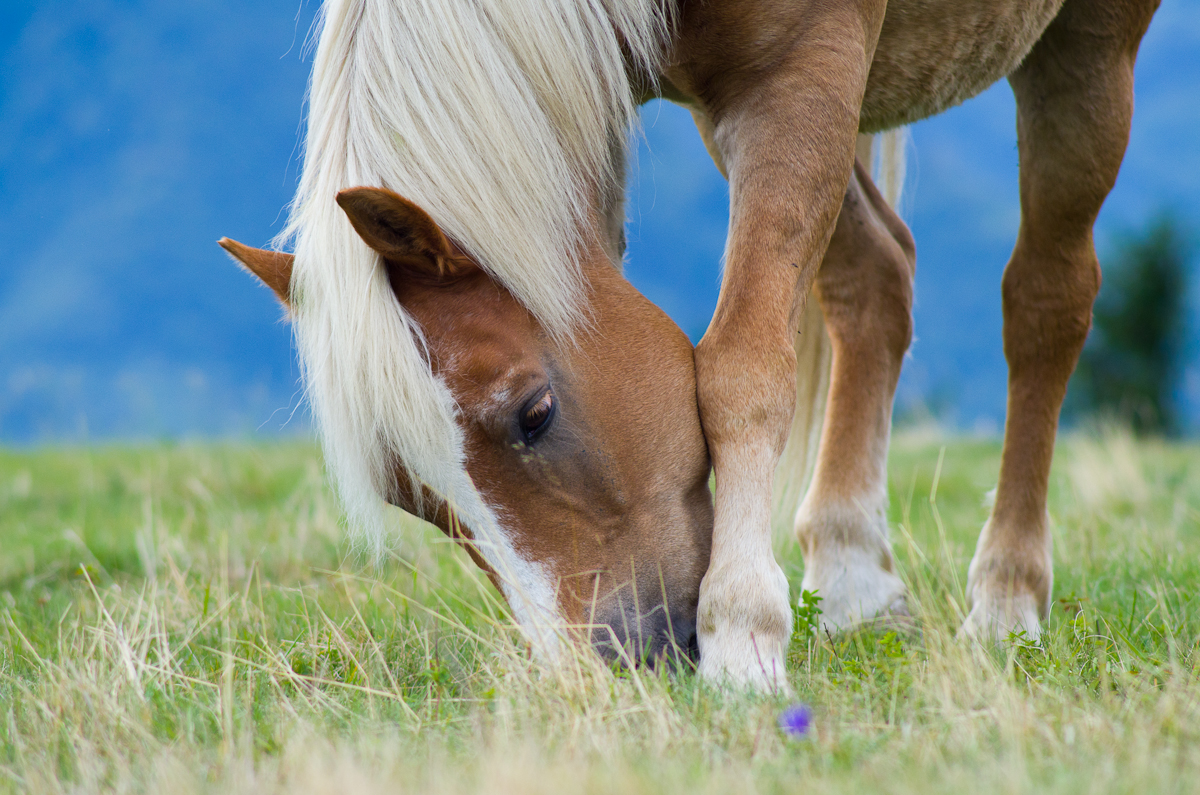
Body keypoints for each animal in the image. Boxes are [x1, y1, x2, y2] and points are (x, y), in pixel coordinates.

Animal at [218, 0, 1161, 686]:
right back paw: (853, 576)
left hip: (1085, 47)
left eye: (534, 413)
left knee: (1046, 302)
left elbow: (741, 369)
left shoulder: (798, 73)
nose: (609, 667)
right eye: (412, 497)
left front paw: (744, 634)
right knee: (877, 281)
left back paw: (1006, 598)